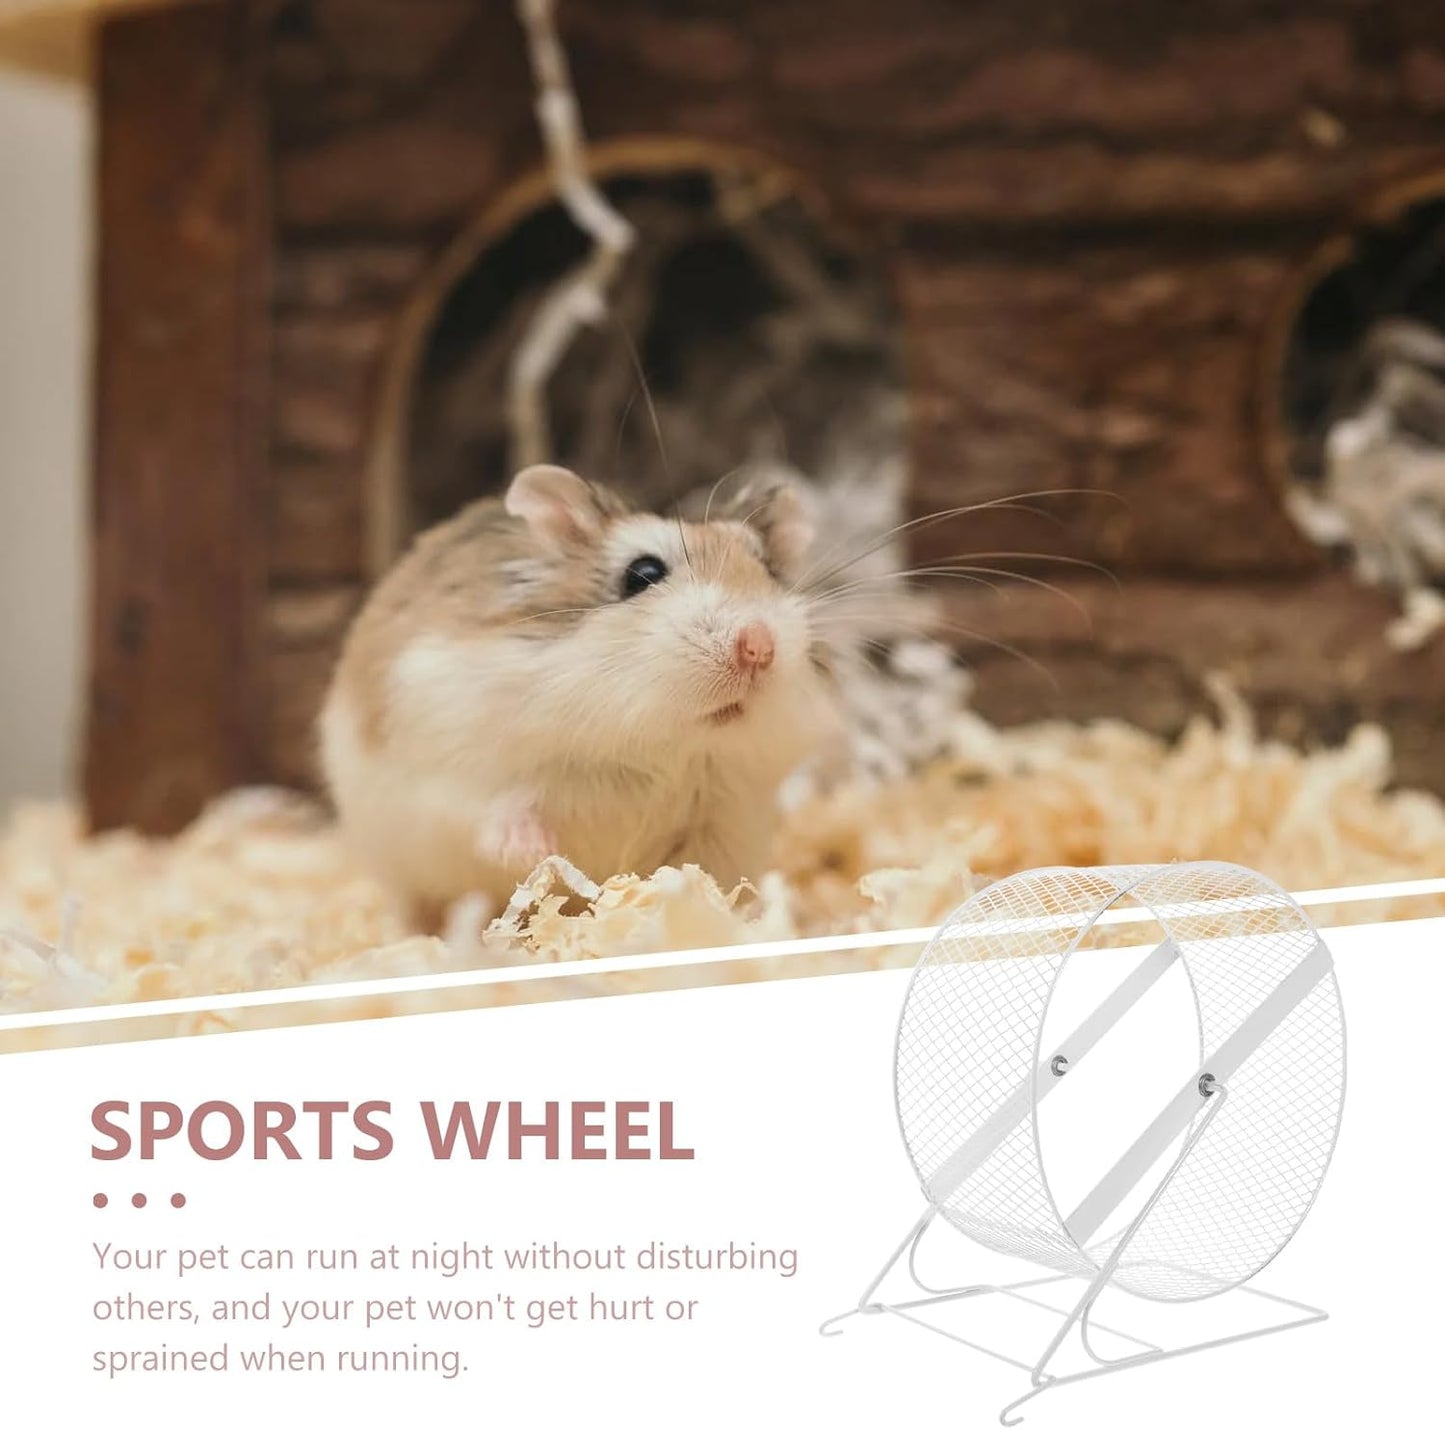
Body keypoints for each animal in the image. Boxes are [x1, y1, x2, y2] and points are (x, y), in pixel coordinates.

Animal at [318, 464, 844, 928]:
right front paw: (536, 852)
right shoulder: (456, 768)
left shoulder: (723, 820)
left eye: (768, 570)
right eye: (643, 573)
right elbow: (498, 809)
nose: (758, 646)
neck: (655, 746)